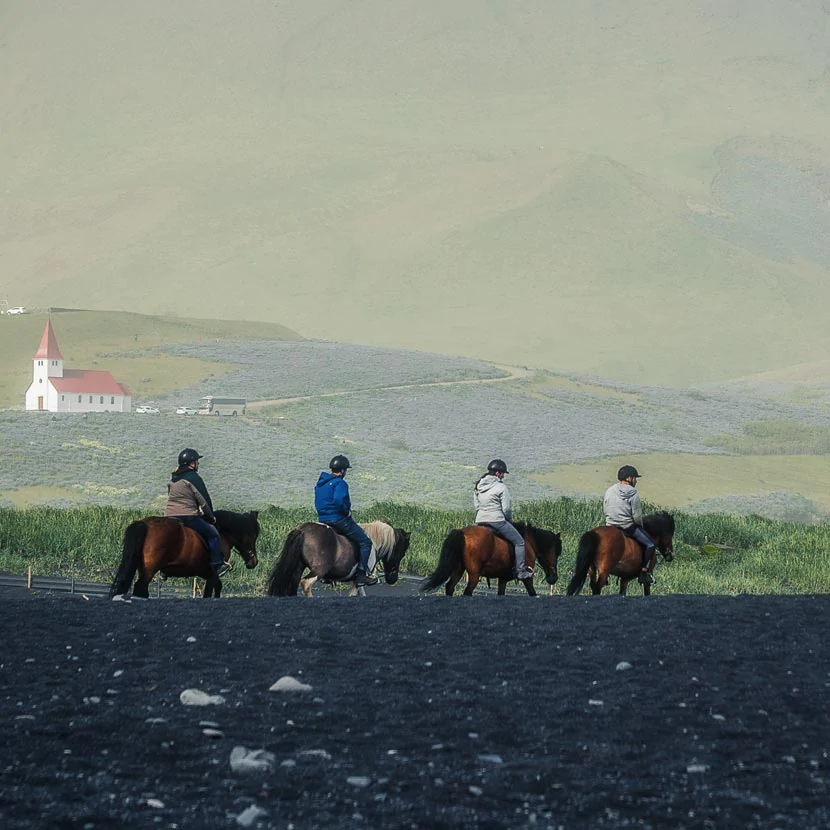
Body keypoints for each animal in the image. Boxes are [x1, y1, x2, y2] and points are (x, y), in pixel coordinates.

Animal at [109, 510, 260, 600]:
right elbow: (212, 589)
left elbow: (218, 586)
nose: (254, 562)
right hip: (149, 570)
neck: (222, 532)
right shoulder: (212, 573)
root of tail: (144, 524)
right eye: (253, 535)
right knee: (140, 588)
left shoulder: (205, 572)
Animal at [264, 520, 412, 600]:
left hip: (298, 567)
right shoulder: (358, 579)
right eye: (402, 552)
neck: (373, 542)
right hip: (318, 570)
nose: (392, 579)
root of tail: (303, 531)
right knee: (306, 583)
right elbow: (354, 593)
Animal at [420, 528, 564, 600]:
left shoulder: (503, 579)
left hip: (458, 570)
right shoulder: (527, 579)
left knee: (450, 587)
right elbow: (532, 593)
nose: (554, 578)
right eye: (557, 552)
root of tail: (462, 532)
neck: (528, 542)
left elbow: (501, 593)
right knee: (467, 591)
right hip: (474, 574)